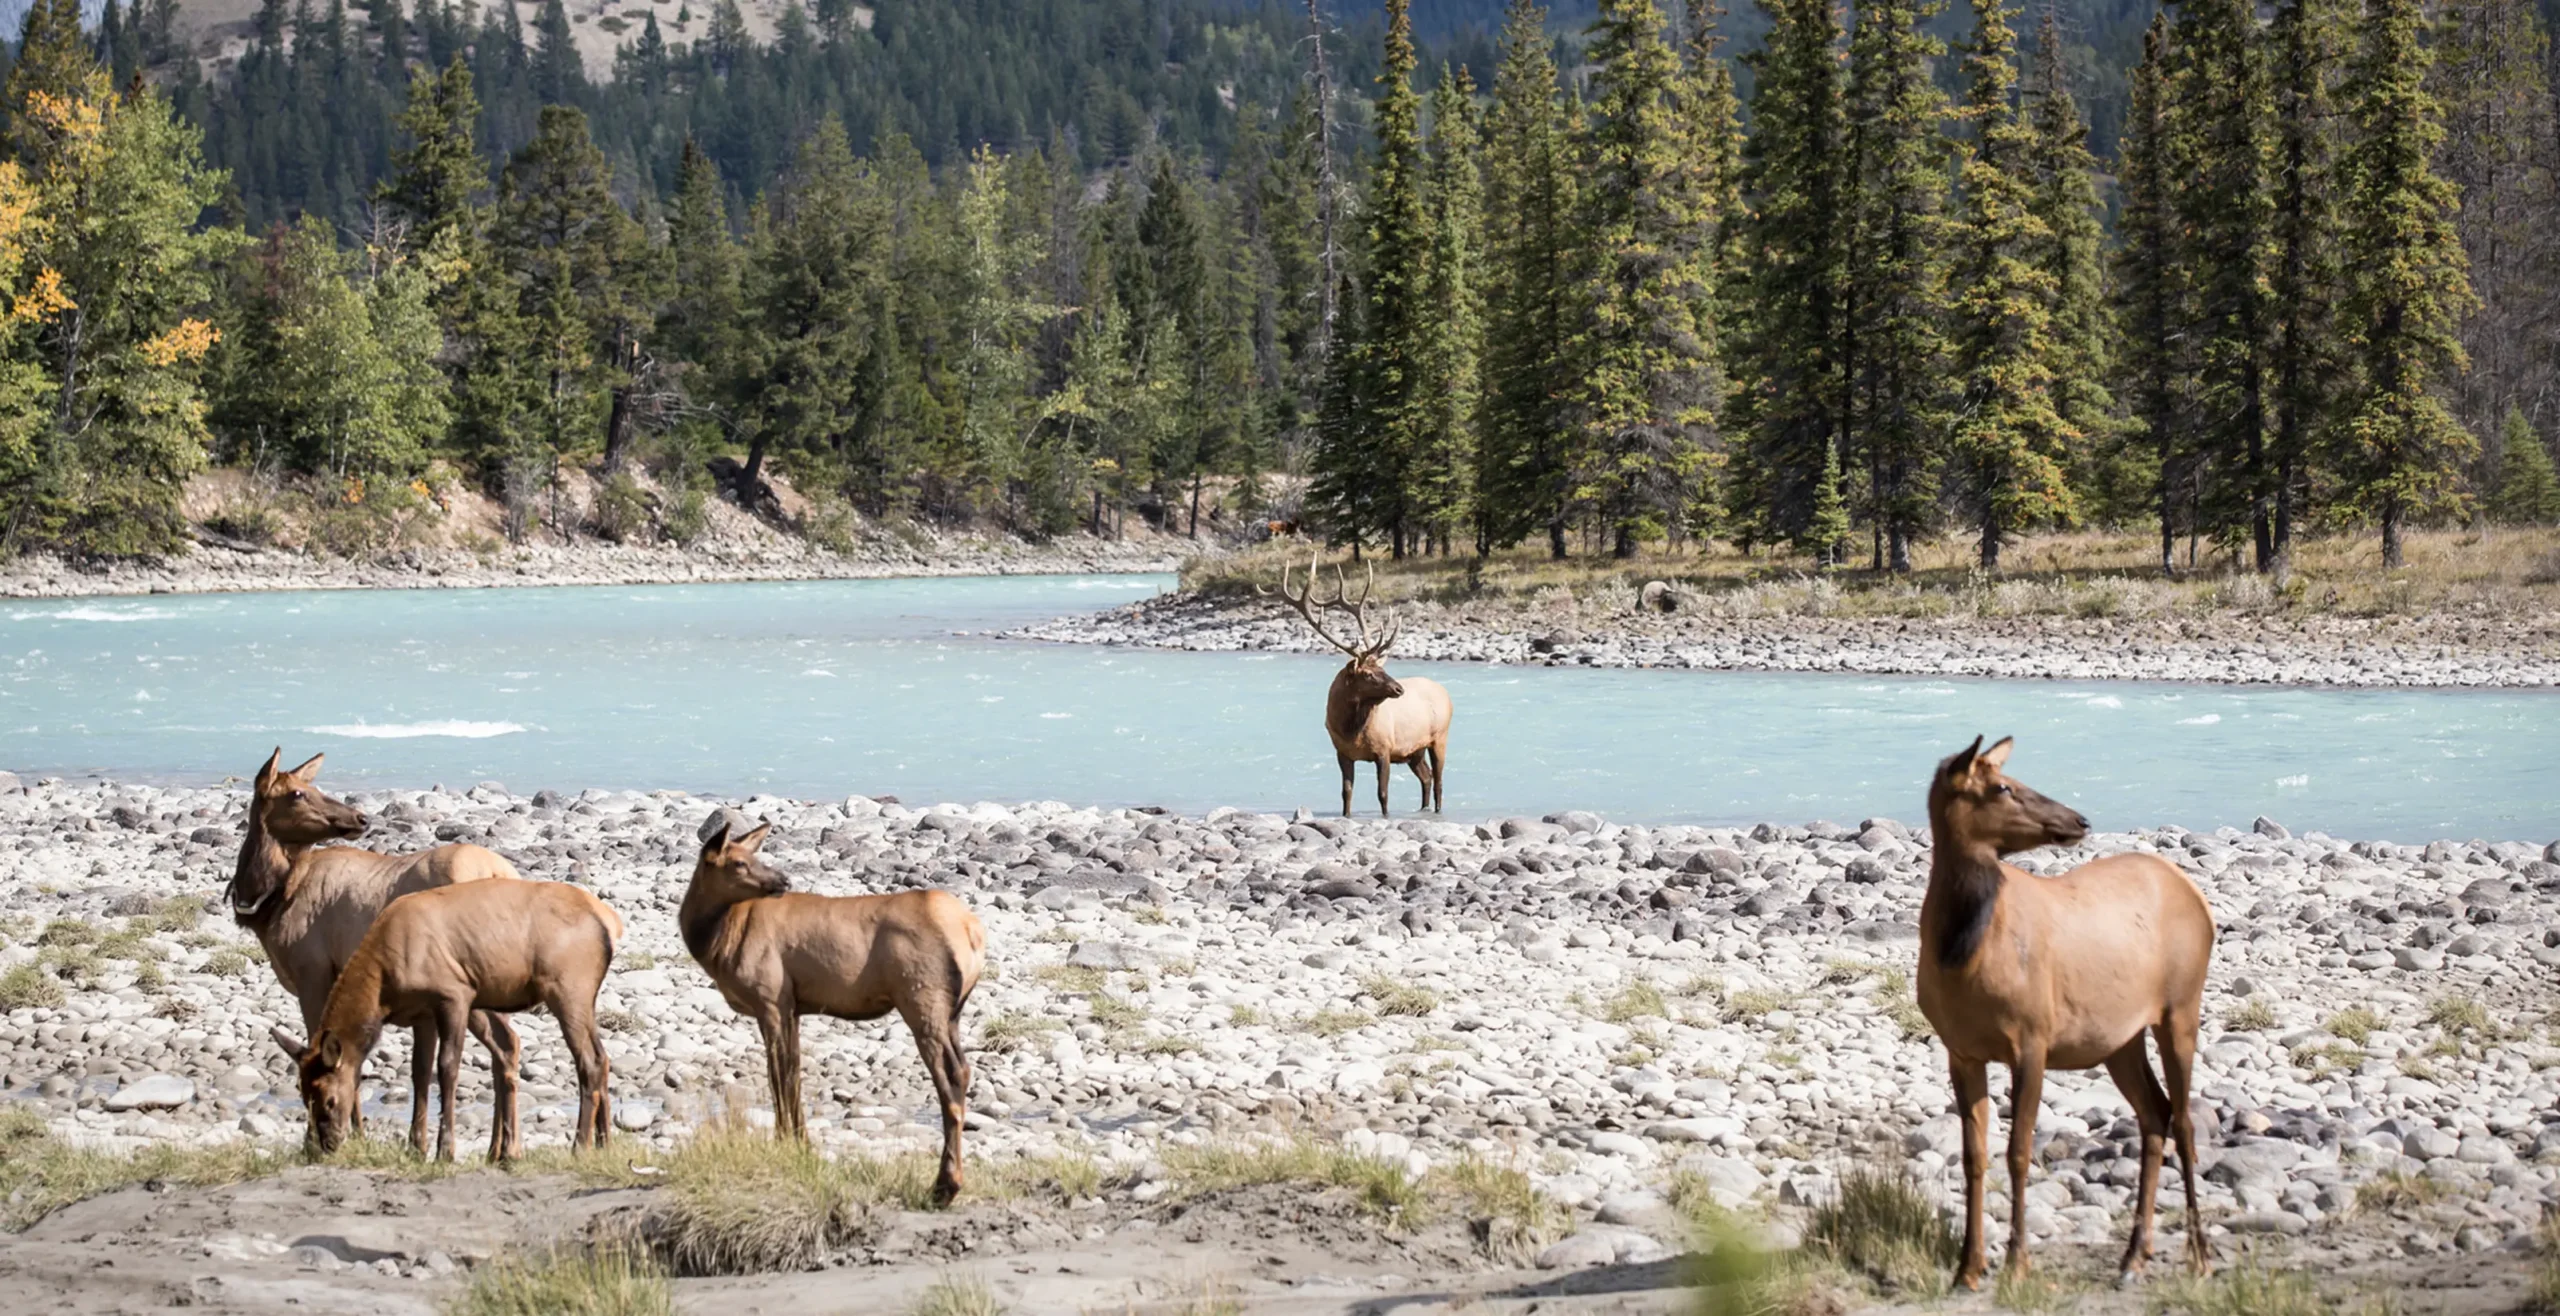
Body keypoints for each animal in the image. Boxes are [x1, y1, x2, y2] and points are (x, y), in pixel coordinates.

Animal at [231, 749, 528, 1161]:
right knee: (506, 1046)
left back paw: (502, 1148)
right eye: (298, 792)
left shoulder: (314, 975)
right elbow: (417, 1069)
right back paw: (499, 1149)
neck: (271, 900)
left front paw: (341, 1135)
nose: (360, 818)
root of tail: (502, 873)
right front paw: (410, 1144)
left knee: (504, 1043)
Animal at [283, 879, 622, 1160]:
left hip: (567, 988)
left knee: (588, 1060)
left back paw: (579, 1146)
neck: (383, 989)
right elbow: (420, 1073)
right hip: (573, 997)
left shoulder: (454, 995)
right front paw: (416, 1148)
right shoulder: (422, 1014)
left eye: (329, 1099)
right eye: (303, 1094)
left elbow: (446, 1068)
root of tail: (608, 923)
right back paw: (601, 1143)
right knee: (599, 1056)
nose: (325, 1144)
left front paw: (444, 1151)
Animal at [679, 819, 987, 1206]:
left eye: (750, 858)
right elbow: (793, 1072)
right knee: (964, 1069)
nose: (783, 880)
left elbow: (778, 1074)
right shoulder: (792, 1006)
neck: (716, 942)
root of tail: (972, 932)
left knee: (951, 1075)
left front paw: (786, 1143)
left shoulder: (770, 999)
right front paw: (802, 1144)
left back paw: (944, 1186)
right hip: (953, 1011)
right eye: (739, 861)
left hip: (922, 999)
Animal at [1269, 552, 1453, 817]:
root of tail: (1444, 692)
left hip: (1439, 737)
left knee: (1438, 780)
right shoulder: (1343, 753)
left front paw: (1385, 816)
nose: (1399, 689)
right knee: (1426, 778)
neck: (1351, 729)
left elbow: (1383, 794)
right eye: (1367, 673)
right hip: (1413, 751)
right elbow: (1346, 792)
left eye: (1382, 668)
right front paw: (1346, 815)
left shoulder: (1384, 750)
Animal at [1918, 736, 2215, 1290]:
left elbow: (2018, 1152)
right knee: (2155, 1113)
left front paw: (2016, 1263)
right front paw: (1968, 1267)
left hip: (2182, 1008)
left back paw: (2200, 1256)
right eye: (2002, 786)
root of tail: (2197, 897)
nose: (2078, 819)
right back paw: (2132, 1257)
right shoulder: (1960, 1050)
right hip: (2120, 1039)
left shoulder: (2032, 1039)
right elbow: (1974, 1156)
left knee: (2185, 1122)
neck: (1960, 951)